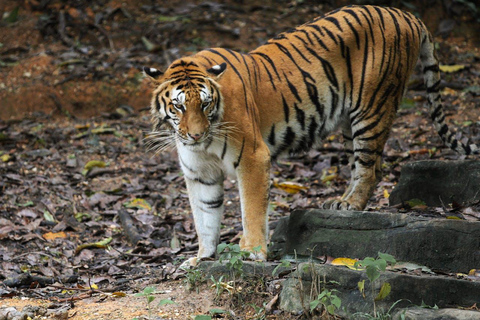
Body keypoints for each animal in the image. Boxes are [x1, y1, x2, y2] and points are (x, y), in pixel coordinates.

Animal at [143, 5, 480, 266]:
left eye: (205, 103)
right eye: (179, 106)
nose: (196, 135)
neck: (205, 143)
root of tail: (407, 14)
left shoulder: (252, 156)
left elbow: (251, 209)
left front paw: (252, 251)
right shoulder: (199, 172)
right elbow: (205, 216)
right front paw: (202, 257)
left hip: (372, 106)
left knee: (371, 167)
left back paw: (351, 205)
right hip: (350, 123)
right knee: (367, 165)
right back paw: (341, 203)